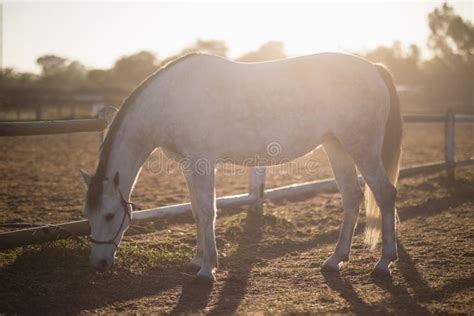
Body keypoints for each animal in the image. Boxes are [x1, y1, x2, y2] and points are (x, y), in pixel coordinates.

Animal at [80, 52, 400, 282]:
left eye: (109, 215)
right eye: (88, 215)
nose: (98, 264)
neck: (170, 101)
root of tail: (374, 68)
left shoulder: (203, 162)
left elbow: (208, 211)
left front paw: (208, 269)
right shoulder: (188, 165)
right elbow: (196, 211)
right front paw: (198, 259)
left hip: (361, 147)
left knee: (385, 194)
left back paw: (383, 264)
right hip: (336, 147)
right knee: (352, 197)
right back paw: (335, 261)